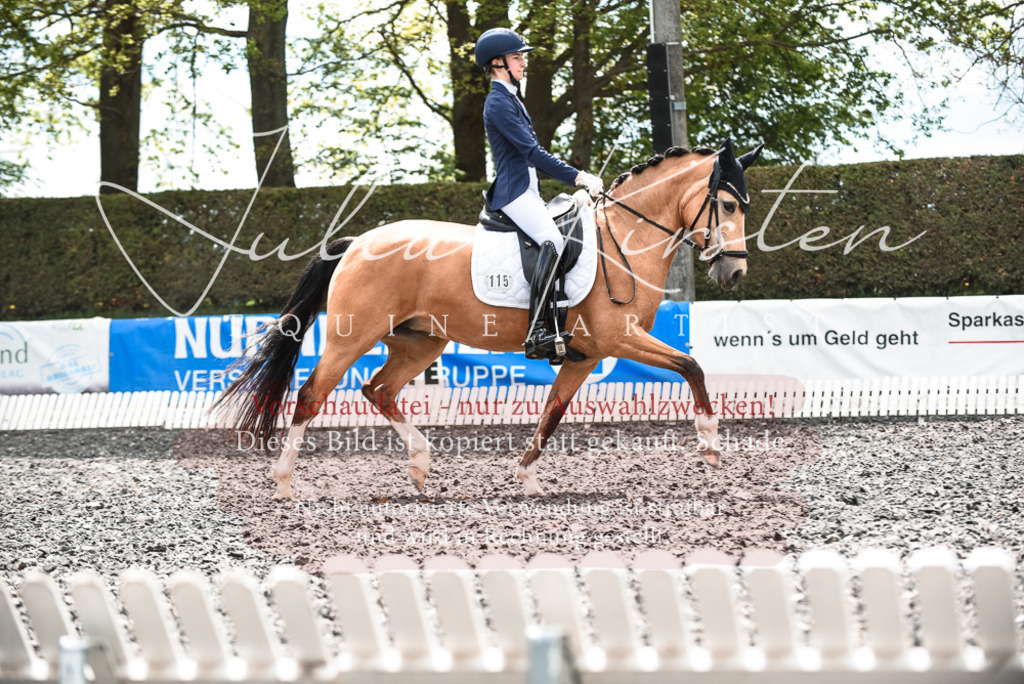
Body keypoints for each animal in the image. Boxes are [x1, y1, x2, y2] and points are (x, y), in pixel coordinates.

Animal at [214, 139, 763, 498]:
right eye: (727, 205)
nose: (735, 272)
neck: (625, 240)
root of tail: (357, 242)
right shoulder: (619, 339)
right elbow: (692, 366)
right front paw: (711, 447)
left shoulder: (586, 356)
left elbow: (552, 413)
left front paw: (526, 477)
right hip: (353, 337)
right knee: (312, 394)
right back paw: (285, 483)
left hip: (420, 342)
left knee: (379, 390)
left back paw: (420, 465)